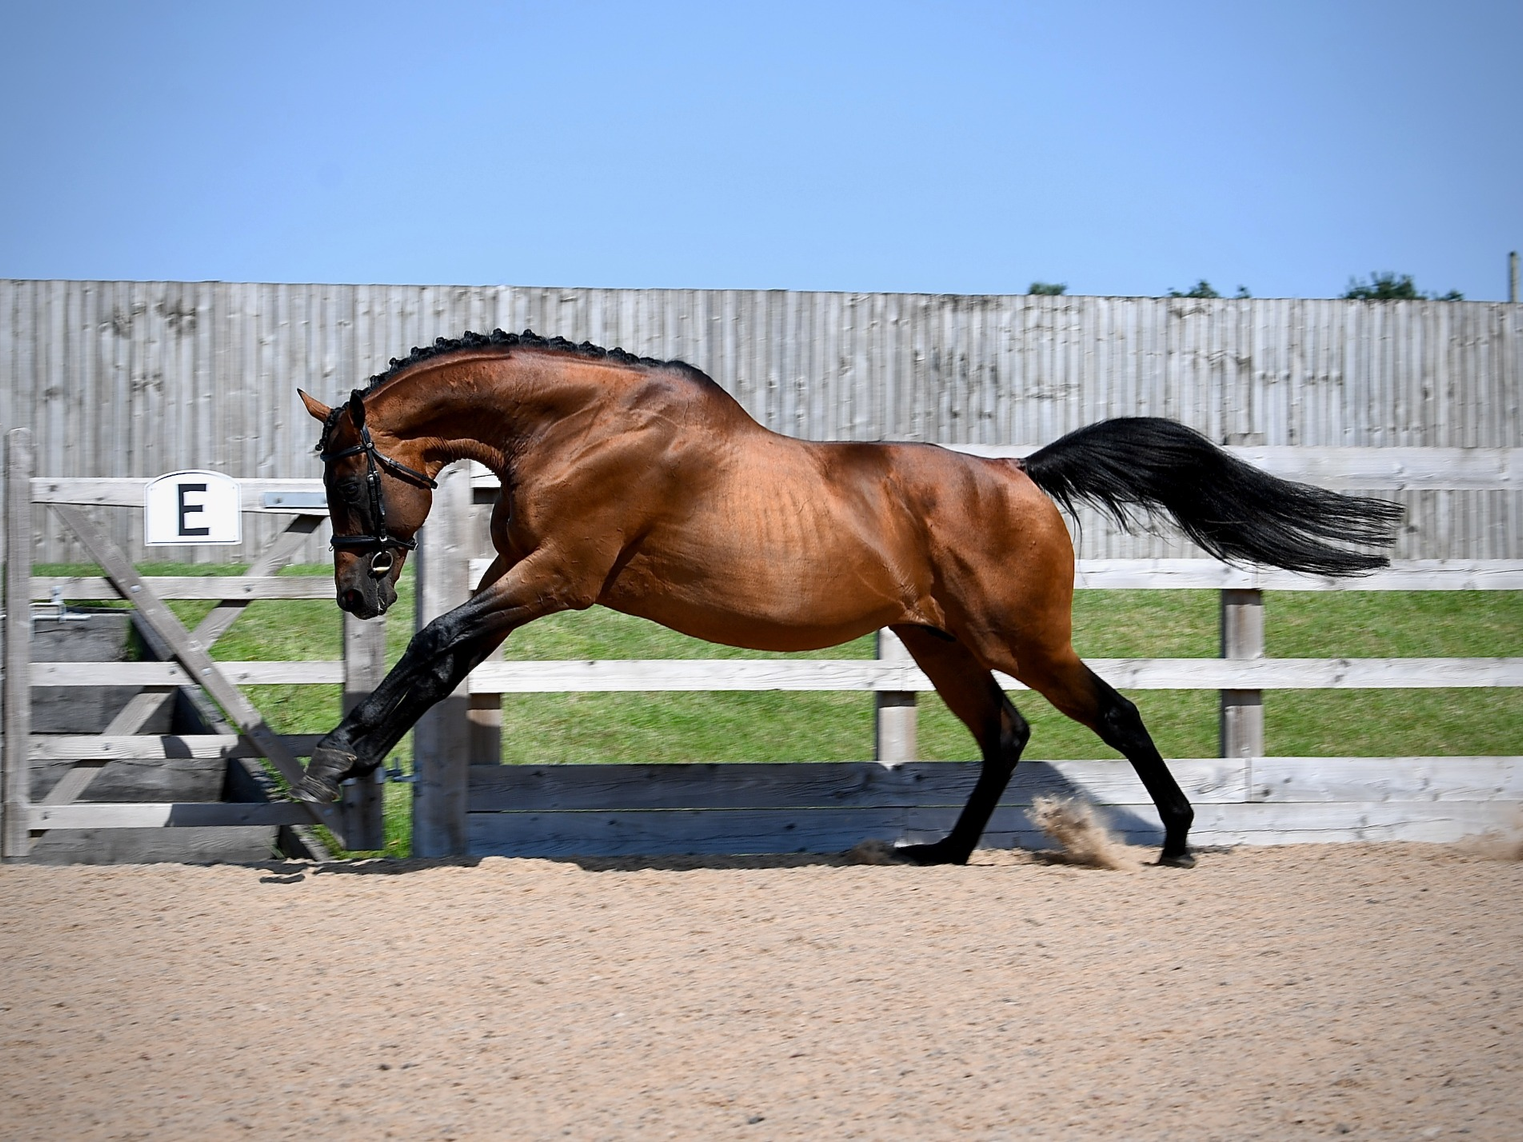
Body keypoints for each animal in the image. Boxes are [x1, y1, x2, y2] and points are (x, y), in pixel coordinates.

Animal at [294, 329, 1402, 867]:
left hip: (1018, 636)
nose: (356, 591)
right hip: (937, 640)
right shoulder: (515, 579)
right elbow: (441, 662)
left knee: (1112, 711)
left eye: (345, 475)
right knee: (1004, 733)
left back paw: (1173, 841)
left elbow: (433, 643)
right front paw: (335, 773)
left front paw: (323, 772)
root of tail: (1018, 473)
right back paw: (941, 852)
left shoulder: (555, 578)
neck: (578, 425)